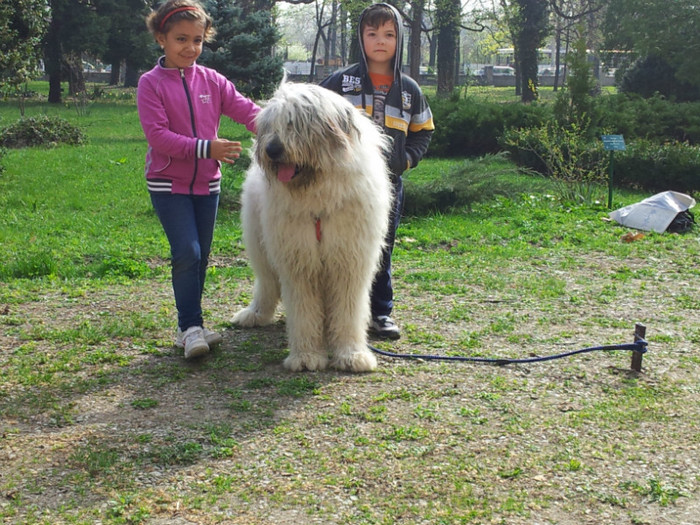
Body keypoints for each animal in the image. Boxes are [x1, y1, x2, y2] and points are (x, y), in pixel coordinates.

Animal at [232, 83, 392, 372]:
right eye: (270, 125)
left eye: (295, 122)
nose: (272, 149)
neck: (317, 199)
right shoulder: (298, 261)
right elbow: (303, 311)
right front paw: (306, 356)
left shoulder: (349, 261)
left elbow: (348, 311)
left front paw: (351, 354)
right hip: (260, 244)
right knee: (267, 283)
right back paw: (254, 314)